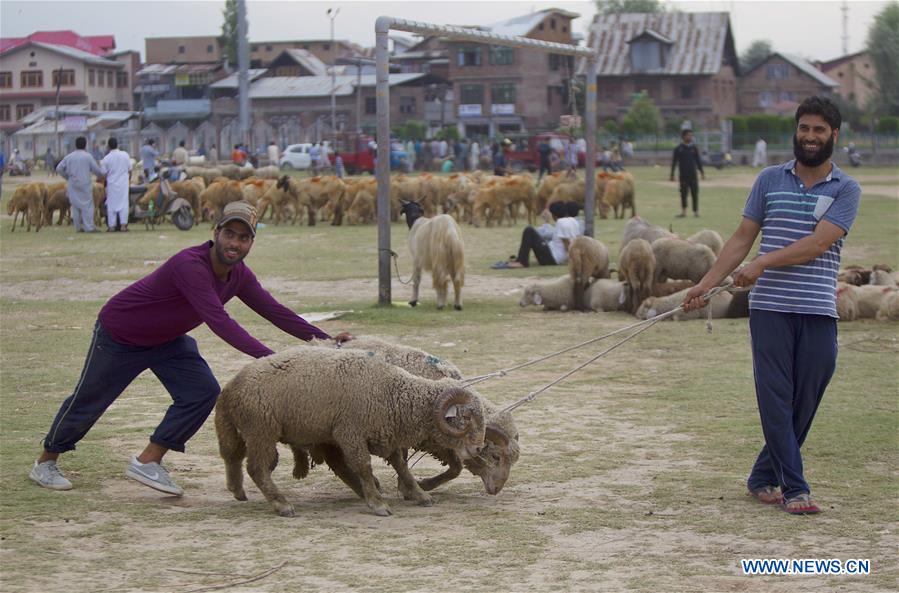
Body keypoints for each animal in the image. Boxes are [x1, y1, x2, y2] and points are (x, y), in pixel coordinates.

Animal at [215, 344, 488, 516]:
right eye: (465, 417)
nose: (478, 449)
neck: (392, 392)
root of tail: (229, 389)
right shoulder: (350, 432)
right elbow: (364, 466)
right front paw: (378, 505)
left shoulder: (384, 435)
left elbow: (401, 466)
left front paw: (420, 495)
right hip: (261, 431)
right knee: (257, 468)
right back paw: (282, 505)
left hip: (245, 431)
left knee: (232, 456)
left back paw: (237, 490)